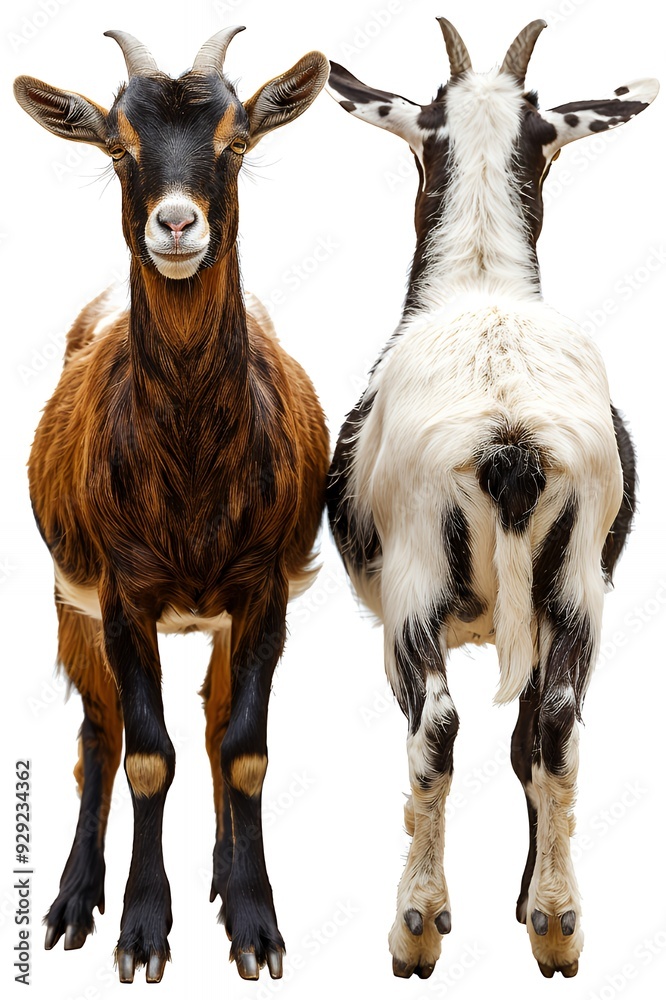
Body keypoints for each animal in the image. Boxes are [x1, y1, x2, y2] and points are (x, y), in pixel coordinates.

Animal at [14, 28, 329, 984]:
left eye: (236, 141)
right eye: (120, 147)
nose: (178, 225)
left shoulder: (264, 591)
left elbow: (245, 749)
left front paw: (256, 926)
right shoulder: (122, 597)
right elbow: (147, 756)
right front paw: (142, 932)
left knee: (214, 712)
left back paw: (223, 877)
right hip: (68, 599)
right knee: (98, 734)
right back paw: (72, 901)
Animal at [327, 18, 656, 980]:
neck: (480, 280)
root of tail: (509, 437)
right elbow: (530, 744)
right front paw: (532, 910)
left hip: (415, 590)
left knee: (437, 729)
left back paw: (417, 926)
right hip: (578, 588)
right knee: (558, 727)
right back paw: (558, 920)